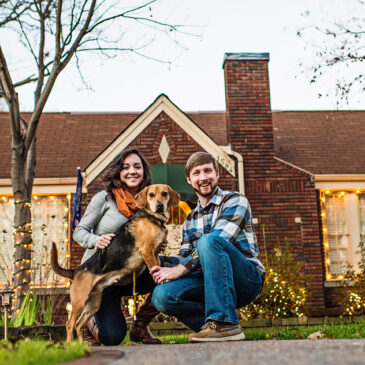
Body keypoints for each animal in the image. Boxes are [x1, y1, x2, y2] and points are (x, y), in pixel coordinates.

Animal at [51, 183, 181, 342]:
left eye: (164, 194)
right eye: (151, 195)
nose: (159, 206)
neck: (153, 217)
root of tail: (76, 270)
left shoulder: (154, 254)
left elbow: (158, 268)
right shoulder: (147, 251)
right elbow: (155, 269)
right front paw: (162, 280)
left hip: (94, 302)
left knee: (79, 324)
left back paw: (82, 344)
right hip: (79, 301)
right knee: (70, 324)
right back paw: (71, 344)